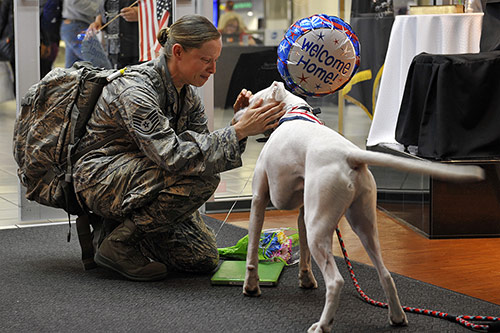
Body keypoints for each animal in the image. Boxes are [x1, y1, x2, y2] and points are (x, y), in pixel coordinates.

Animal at [238, 81, 484, 332]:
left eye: (252, 101)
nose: (238, 115)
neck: (293, 111)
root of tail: (350, 155)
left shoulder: (259, 198)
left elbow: (252, 249)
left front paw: (251, 286)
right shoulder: (304, 212)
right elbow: (304, 252)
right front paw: (306, 279)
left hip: (319, 229)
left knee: (336, 281)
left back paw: (323, 325)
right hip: (363, 224)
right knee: (385, 273)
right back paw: (397, 316)